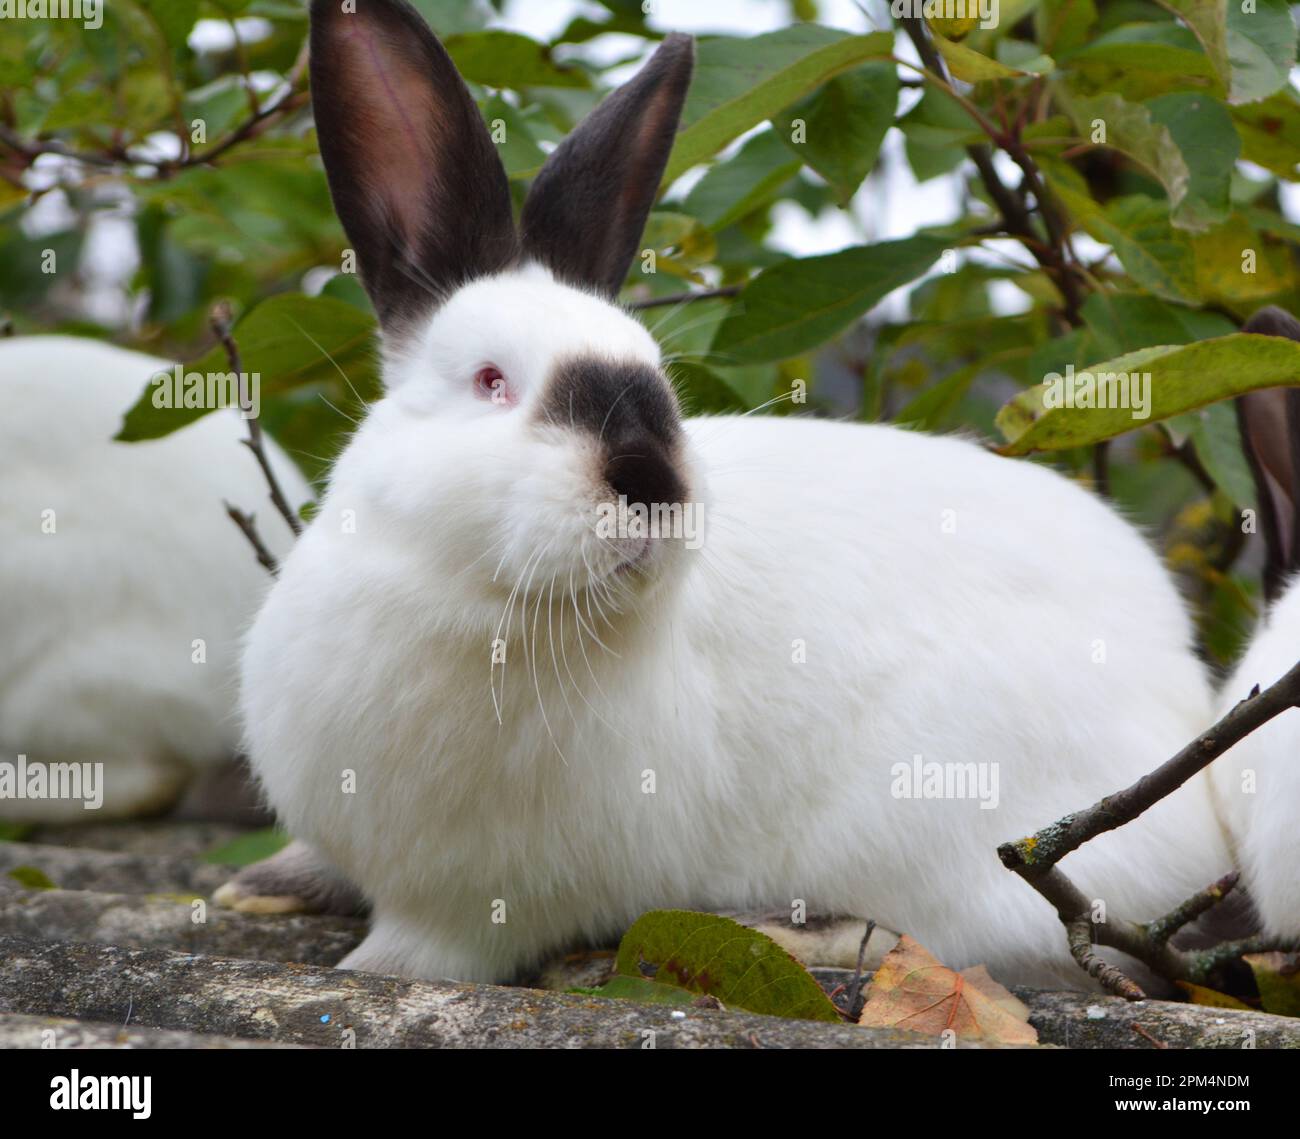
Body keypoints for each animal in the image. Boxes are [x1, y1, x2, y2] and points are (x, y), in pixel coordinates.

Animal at [240, 0, 1241, 991]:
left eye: (659, 377)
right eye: (491, 380)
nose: (650, 477)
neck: (470, 598)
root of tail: (1186, 702)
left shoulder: (488, 898)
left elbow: (433, 950)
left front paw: (367, 964)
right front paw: (271, 883)